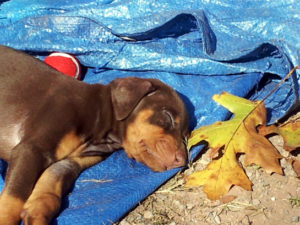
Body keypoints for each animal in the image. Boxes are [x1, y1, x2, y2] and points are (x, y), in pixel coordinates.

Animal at [0, 44, 189, 224]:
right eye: (168, 117)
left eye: (185, 135)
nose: (182, 160)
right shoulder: (31, 149)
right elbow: (13, 200)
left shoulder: (70, 162)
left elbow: (50, 184)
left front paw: (36, 213)